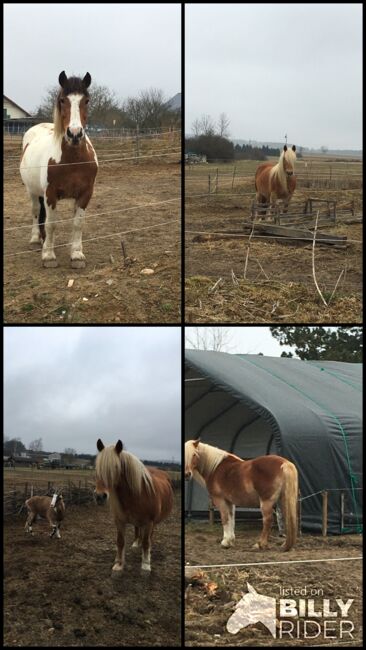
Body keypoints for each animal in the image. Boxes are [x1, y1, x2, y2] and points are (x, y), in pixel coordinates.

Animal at [19, 73, 97, 268]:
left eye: (86, 100)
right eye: (62, 100)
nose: (74, 134)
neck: (73, 161)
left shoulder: (85, 194)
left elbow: (78, 223)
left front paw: (77, 255)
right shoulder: (51, 194)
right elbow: (51, 223)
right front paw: (48, 256)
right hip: (32, 191)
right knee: (35, 211)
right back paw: (36, 240)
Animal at [94, 440, 174, 572]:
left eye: (116, 467)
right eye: (97, 468)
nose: (99, 496)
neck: (137, 493)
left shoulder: (149, 522)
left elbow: (146, 543)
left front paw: (146, 565)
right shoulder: (119, 521)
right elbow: (120, 541)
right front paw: (119, 564)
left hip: (153, 522)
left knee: (149, 536)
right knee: (137, 529)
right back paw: (136, 543)